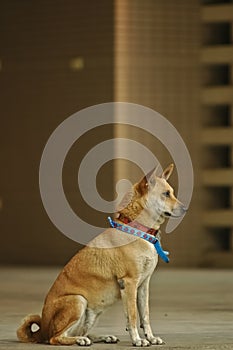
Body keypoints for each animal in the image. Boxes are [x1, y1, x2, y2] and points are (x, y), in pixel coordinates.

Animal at [17, 165, 187, 348]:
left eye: (172, 192)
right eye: (166, 194)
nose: (185, 209)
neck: (137, 229)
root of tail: (42, 331)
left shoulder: (143, 285)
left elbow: (145, 315)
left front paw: (150, 337)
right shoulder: (129, 283)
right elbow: (133, 316)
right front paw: (137, 340)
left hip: (91, 314)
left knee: (79, 332)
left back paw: (101, 337)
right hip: (78, 301)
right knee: (56, 338)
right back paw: (79, 341)